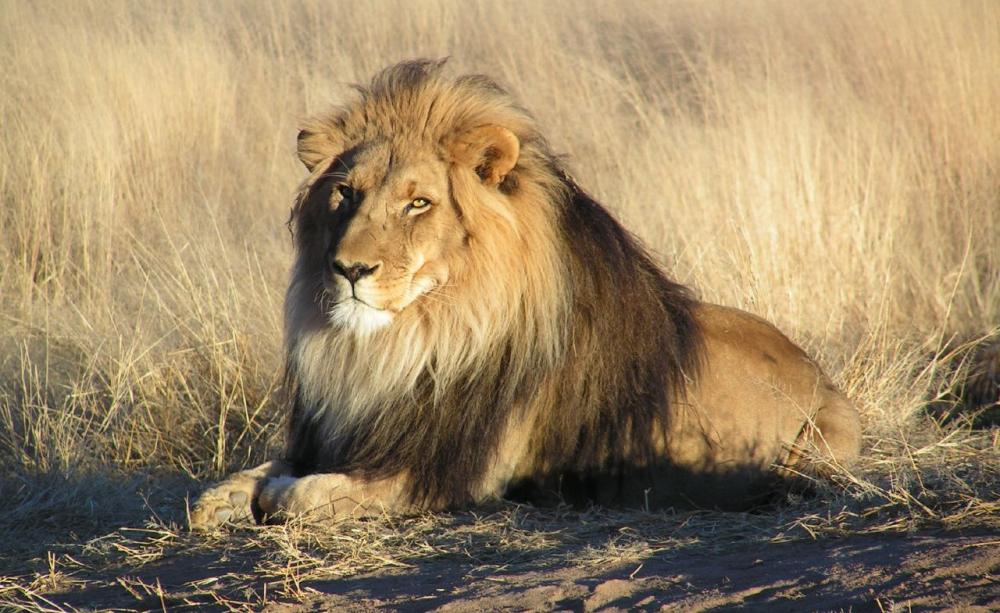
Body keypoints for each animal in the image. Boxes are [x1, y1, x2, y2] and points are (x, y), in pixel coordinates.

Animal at [190, 60, 861, 529]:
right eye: (345, 194)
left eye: (418, 203)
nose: (349, 269)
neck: (406, 344)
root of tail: (820, 373)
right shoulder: (343, 434)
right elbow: (242, 480)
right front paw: (225, 499)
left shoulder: (449, 474)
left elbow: (302, 494)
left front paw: (274, 496)